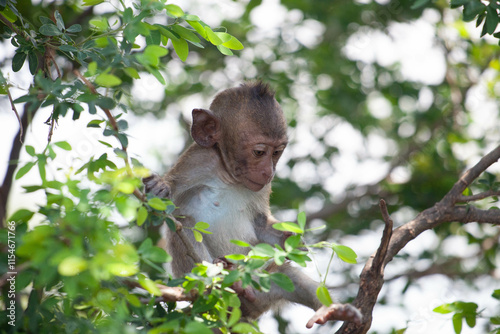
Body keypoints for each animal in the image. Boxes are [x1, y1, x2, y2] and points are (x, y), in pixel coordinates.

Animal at [143, 81, 362, 328]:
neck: (227, 174)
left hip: (265, 284)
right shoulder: (196, 161)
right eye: (259, 152)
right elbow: (169, 210)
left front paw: (289, 240)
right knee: (186, 226)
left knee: (290, 277)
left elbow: (260, 222)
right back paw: (213, 279)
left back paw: (329, 310)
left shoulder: (263, 187)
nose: (268, 171)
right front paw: (159, 186)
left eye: (277, 152)